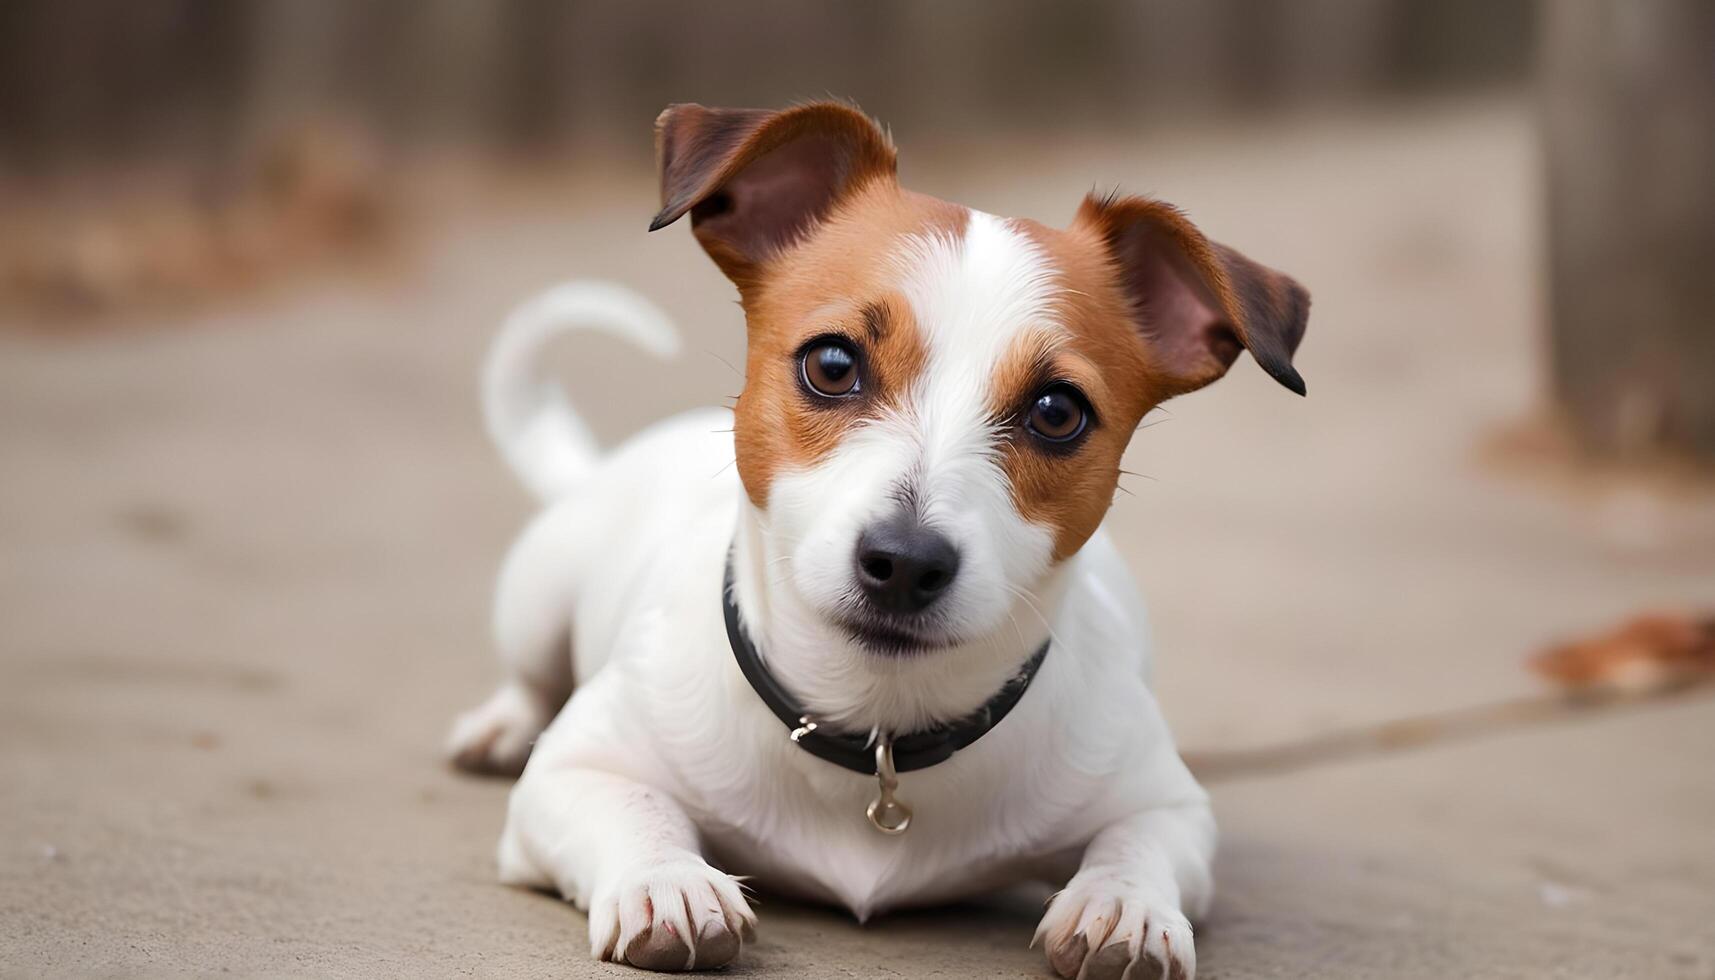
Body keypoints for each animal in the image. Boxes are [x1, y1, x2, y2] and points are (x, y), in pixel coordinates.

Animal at [449, 103, 1303, 974]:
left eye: (1057, 412)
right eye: (832, 364)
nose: (904, 564)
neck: (879, 729)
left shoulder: (1164, 802)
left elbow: (1139, 844)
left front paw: (1122, 905)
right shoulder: (573, 773)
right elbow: (630, 806)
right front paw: (667, 880)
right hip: (537, 600)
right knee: (531, 678)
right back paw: (502, 726)